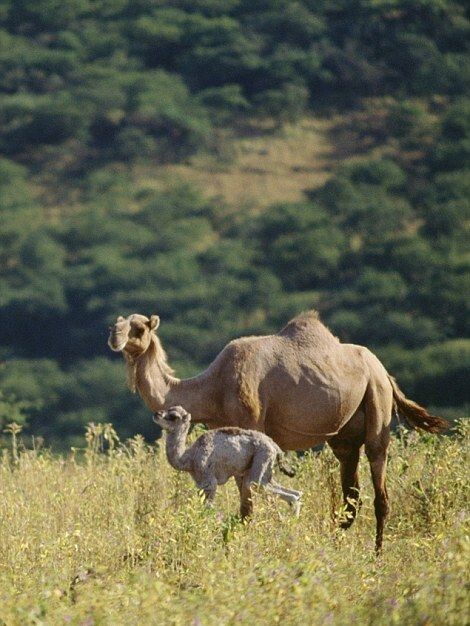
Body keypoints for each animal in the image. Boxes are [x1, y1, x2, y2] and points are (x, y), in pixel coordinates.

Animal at [154, 408, 302, 516]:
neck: (189, 458)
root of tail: (274, 446)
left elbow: (208, 509)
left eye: (173, 416)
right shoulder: (200, 484)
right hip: (264, 471)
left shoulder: (210, 482)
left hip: (261, 460)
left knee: (280, 492)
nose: (157, 414)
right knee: (296, 493)